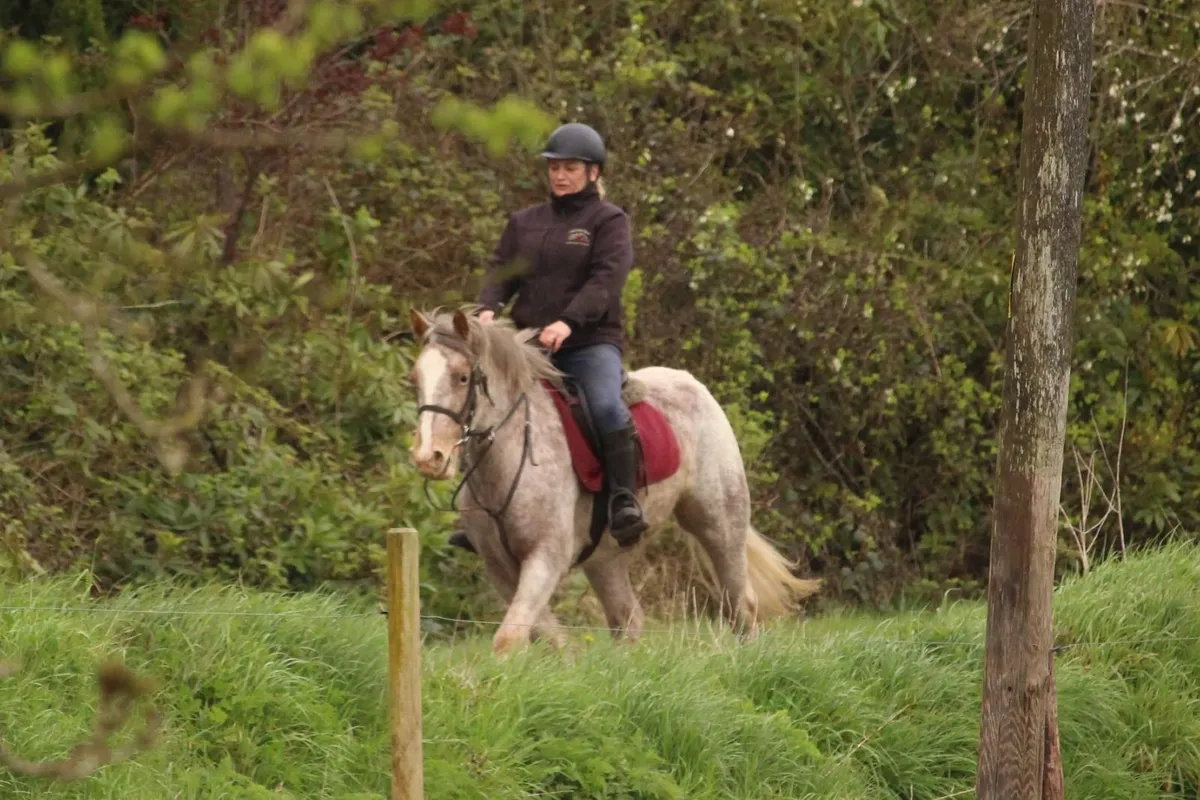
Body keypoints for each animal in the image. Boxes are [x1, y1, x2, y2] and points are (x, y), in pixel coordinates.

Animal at [406, 307, 821, 656]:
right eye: (415, 380)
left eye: (462, 377)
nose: (429, 458)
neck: (509, 459)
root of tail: (692, 383)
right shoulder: (500, 568)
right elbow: (540, 632)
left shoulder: (546, 557)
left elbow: (509, 638)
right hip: (604, 558)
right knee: (628, 620)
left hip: (717, 523)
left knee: (740, 604)